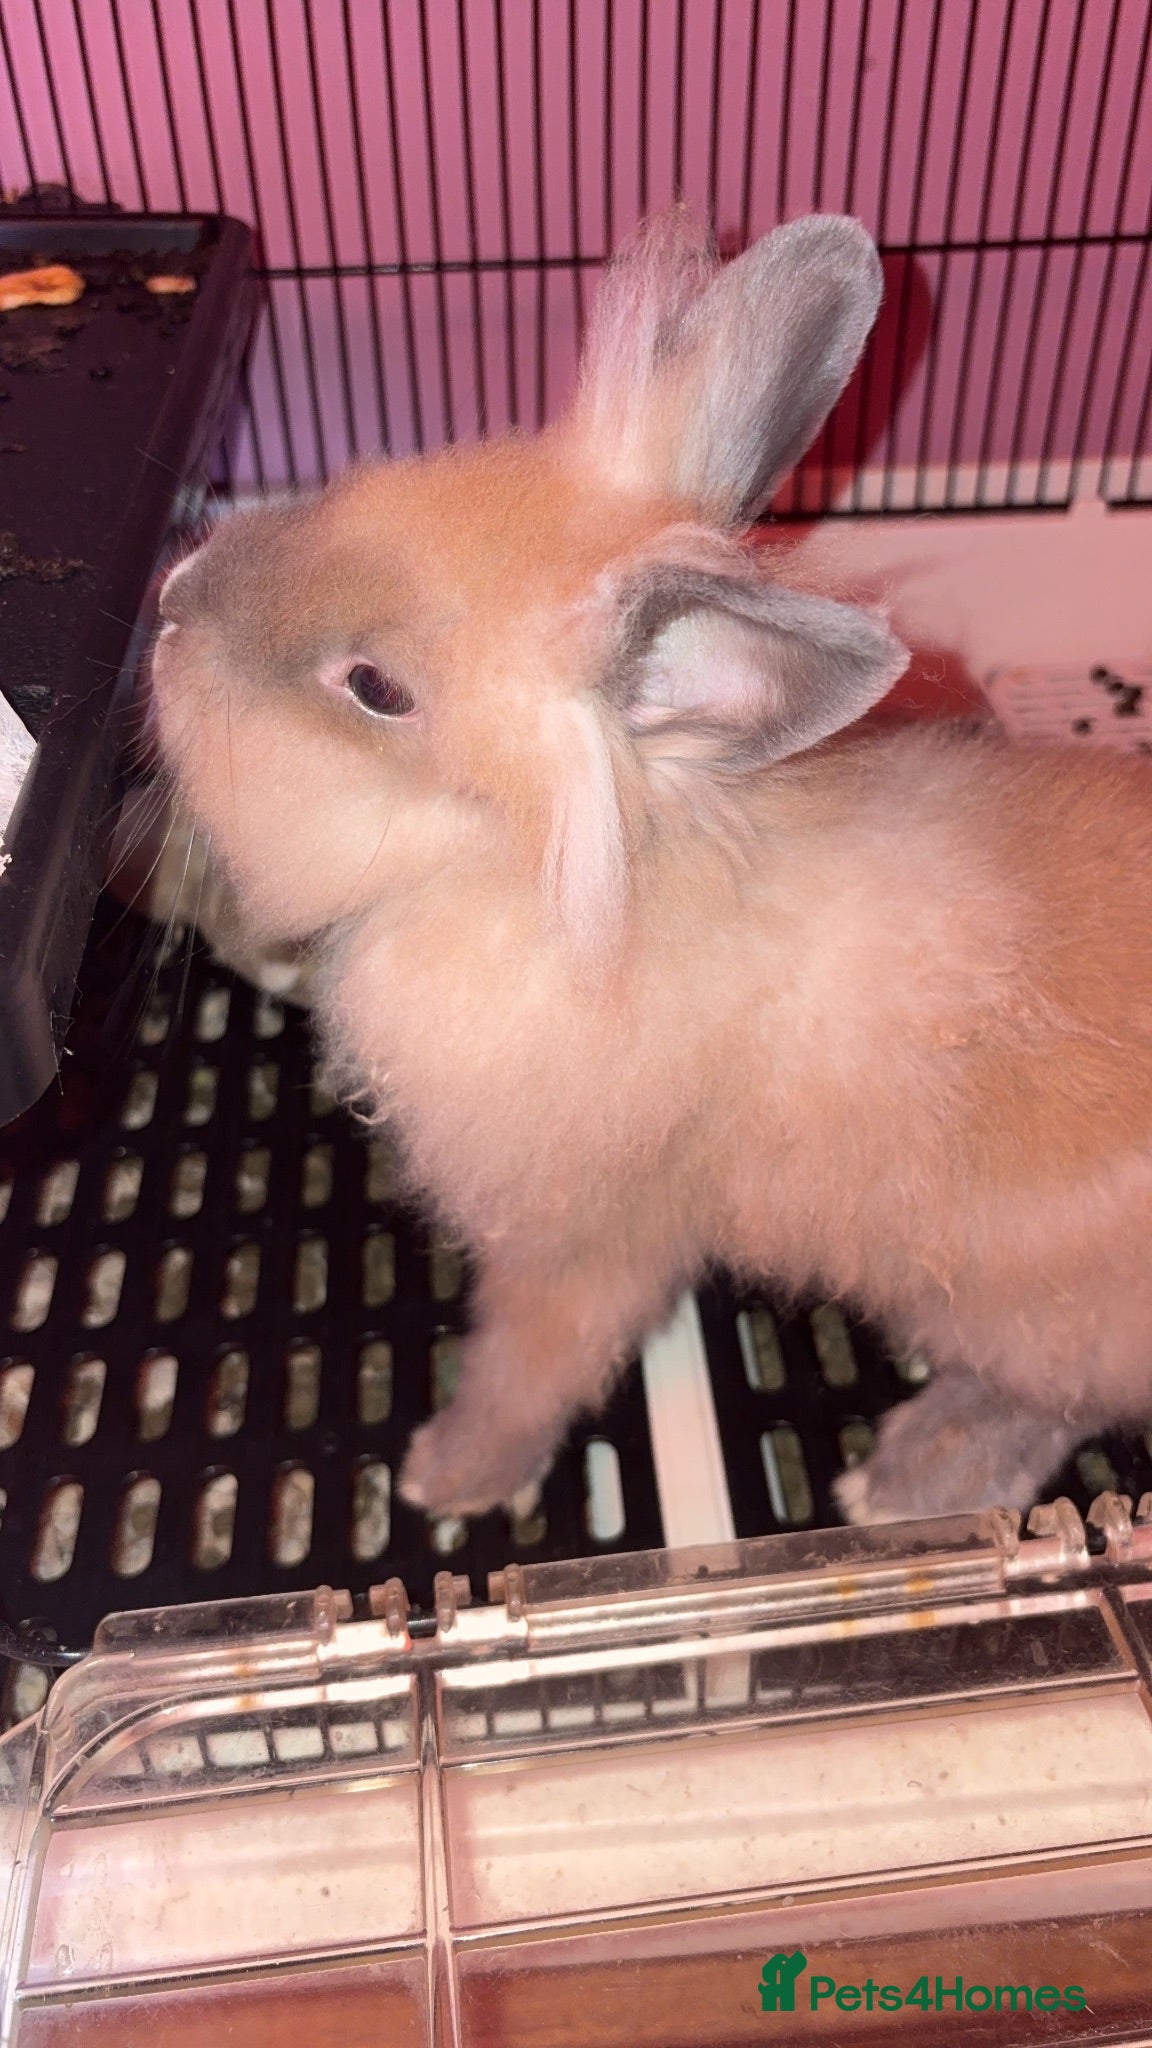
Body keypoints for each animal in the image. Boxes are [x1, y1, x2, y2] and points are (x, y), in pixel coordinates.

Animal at [149, 204, 1152, 1527]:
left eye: (376, 690)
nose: (170, 599)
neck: (527, 874)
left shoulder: (586, 1239)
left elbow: (533, 1358)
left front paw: (450, 1473)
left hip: (1033, 1308)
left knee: (1047, 1396)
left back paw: (905, 1476)